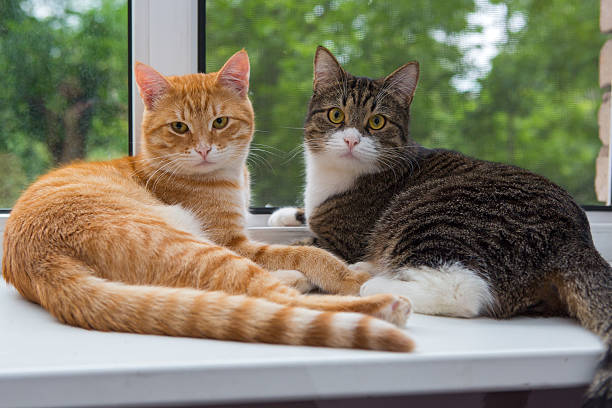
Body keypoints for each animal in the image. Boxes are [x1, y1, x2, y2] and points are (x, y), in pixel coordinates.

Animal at [1, 48, 416, 350]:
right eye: (179, 127)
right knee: (275, 298)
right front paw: (343, 273)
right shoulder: (233, 242)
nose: (203, 149)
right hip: (194, 246)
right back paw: (380, 301)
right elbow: (308, 253)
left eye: (220, 122)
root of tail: (41, 262)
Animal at [272, 45, 612, 404]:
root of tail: (576, 235)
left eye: (377, 122)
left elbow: (295, 248)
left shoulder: (341, 240)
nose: (351, 141)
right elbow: (303, 221)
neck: (333, 178)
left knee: (462, 291)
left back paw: (375, 281)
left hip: (431, 216)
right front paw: (285, 213)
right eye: (336, 115)